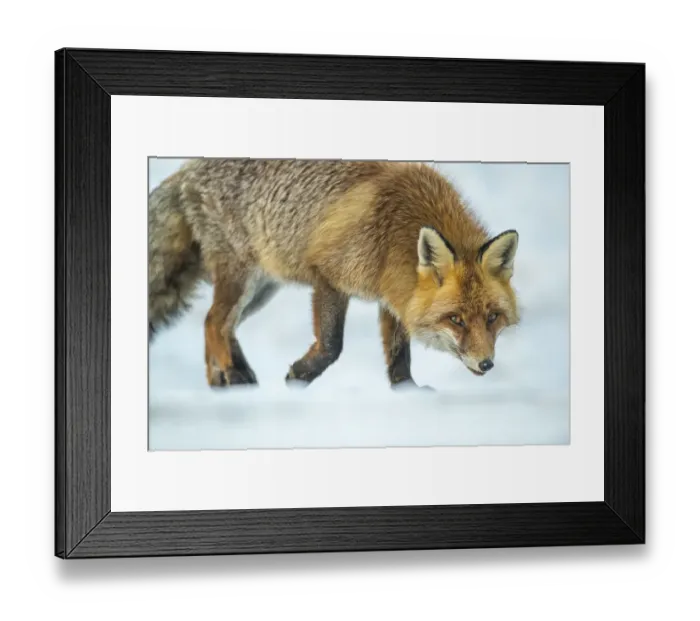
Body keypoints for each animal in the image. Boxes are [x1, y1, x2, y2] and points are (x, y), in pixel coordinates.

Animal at [148, 159, 520, 389]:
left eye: (492, 317)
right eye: (455, 319)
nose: (487, 364)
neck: (392, 230)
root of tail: (188, 168)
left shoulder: (395, 293)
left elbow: (399, 353)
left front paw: (406, 390)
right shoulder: (328, 276)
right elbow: (331, 344)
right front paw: (300, 376)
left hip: (262, 290)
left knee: (220, 325)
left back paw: (226, 383)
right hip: (241, 278)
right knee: (214, 322)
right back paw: (232, 376)